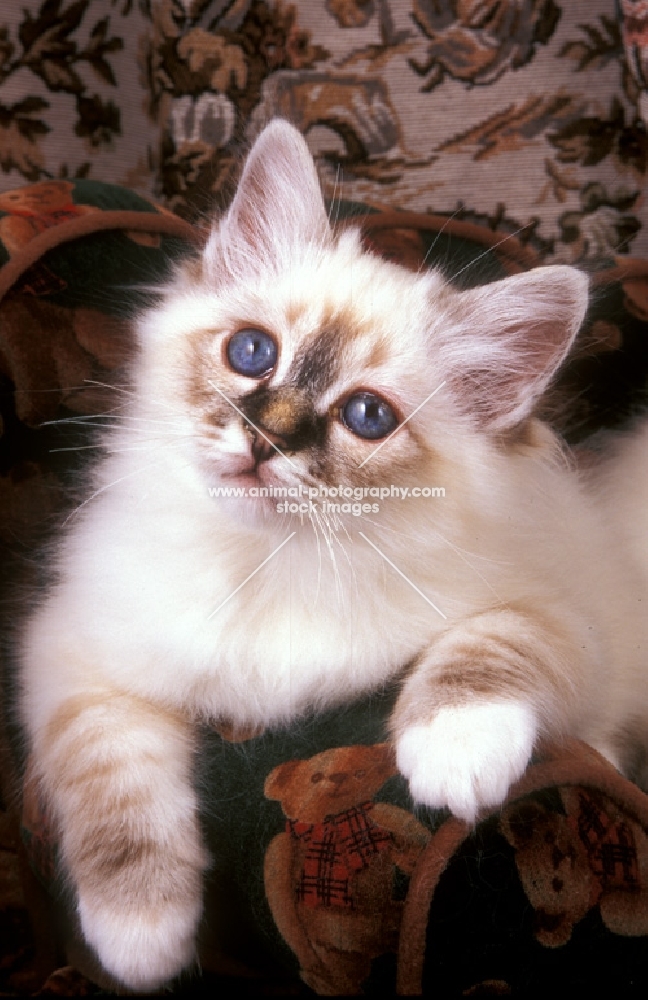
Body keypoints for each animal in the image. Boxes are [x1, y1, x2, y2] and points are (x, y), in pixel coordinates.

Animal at [17, 121, 648, 988]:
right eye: (253, 353)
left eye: (367, 417)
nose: (266, 437)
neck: (269, 561)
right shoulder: (74, 658)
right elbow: (115, 795)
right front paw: (139, 940)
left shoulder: (563, 620)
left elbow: (496, 644)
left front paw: (453, 753)